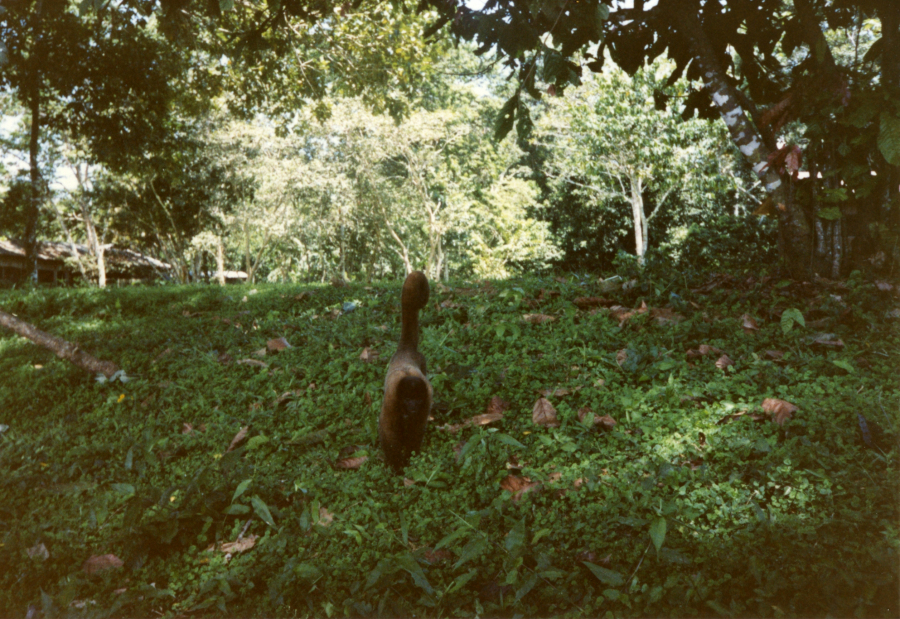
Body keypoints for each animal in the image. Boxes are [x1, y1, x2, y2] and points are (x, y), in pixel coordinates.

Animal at [379, 271, 432, 473]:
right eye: (408, 399)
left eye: (416, 400)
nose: (413, 406)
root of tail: (406, 351)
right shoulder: (392, 398)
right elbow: (389, 431)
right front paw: (397, 466)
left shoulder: (427, 397)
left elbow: (416, 430)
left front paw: (410, 461)